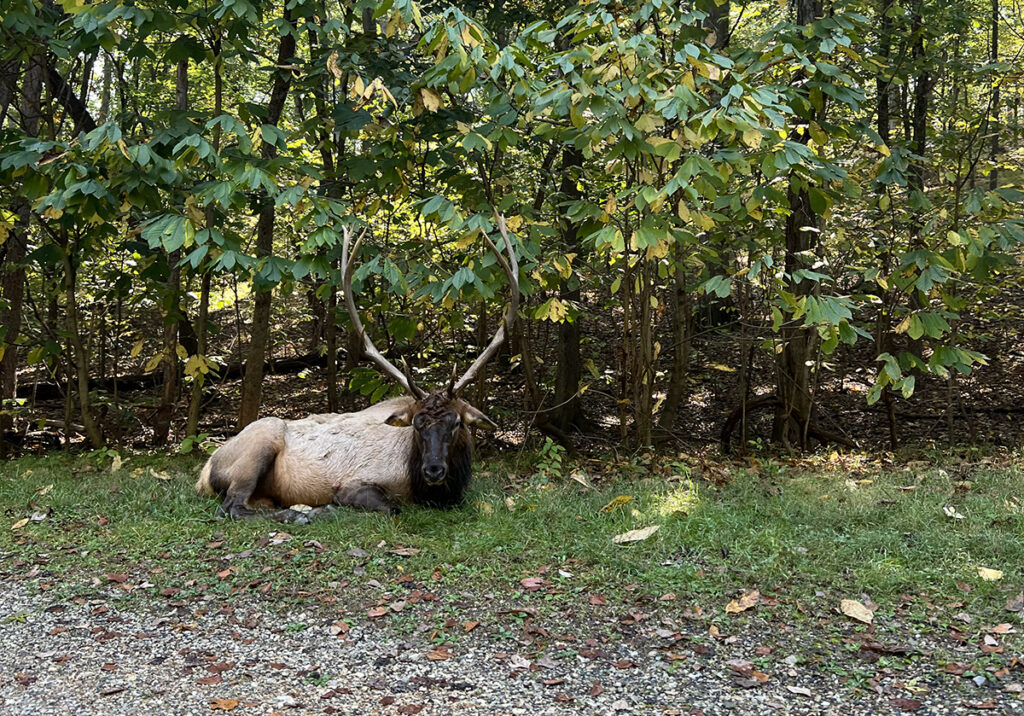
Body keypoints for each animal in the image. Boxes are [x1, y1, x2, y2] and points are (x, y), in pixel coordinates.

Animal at [194, 214, 520, 520]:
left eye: (456, 423)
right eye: (416, 424)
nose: (434, 470)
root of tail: (204, 472)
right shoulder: (354, 483)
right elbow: (391, 507)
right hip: (259, 443)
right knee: (231, 507)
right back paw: (301, 513)